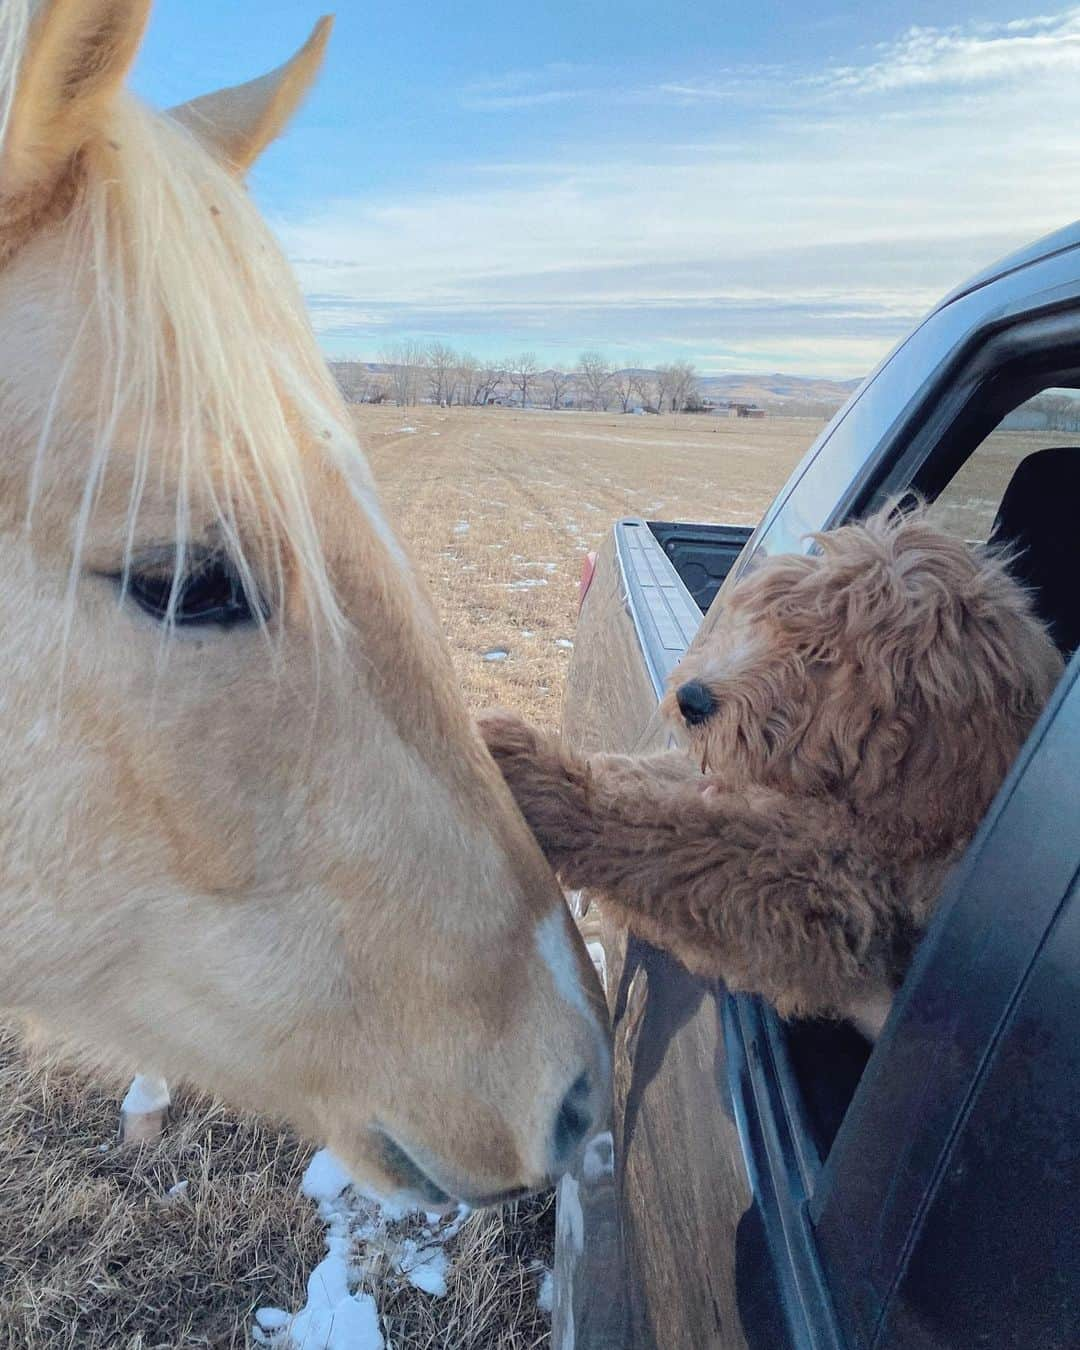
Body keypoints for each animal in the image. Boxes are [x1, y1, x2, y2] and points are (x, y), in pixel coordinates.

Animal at [480, 507, 1063, 1031]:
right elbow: (656, 790)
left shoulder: (827, 895)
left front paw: (534, 778)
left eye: (828, 656)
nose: (691, 698)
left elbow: (682, 840)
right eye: (771, 624)